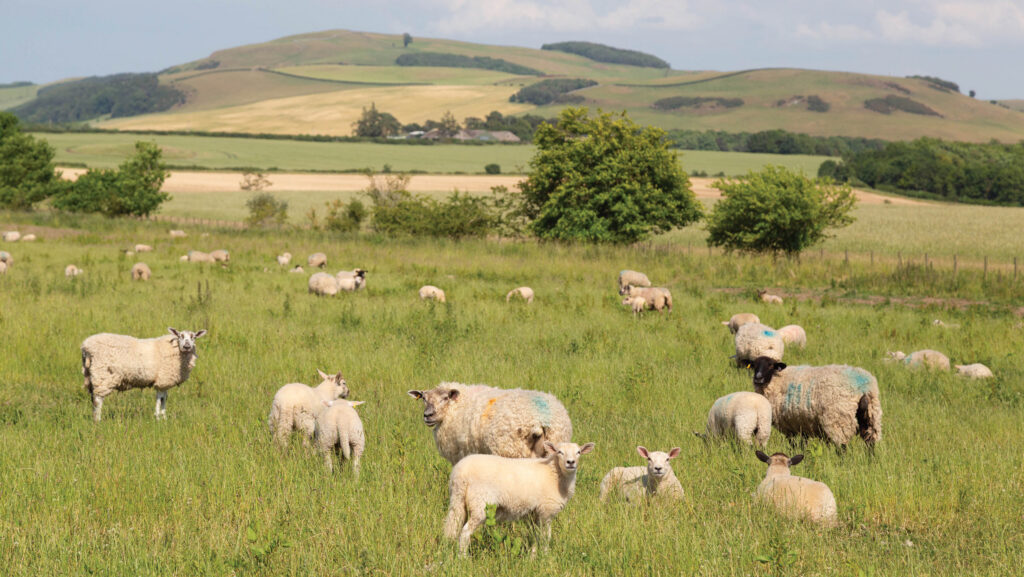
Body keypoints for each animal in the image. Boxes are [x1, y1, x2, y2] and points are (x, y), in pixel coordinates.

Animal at [444, 441, 595, 555]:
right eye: (559, 452)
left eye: (578, 452)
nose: (571, 462)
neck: (555, 474)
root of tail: (460, 473)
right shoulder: (546, 511)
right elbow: (546, 537)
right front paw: (545, 556)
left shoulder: (536, 514)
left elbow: (536, 536)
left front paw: (533, 557)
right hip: (479, 504)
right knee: (465, 533)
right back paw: (463, 558)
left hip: (458, 501)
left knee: (453, 527)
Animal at [750, 356, 882, 448]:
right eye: (754, 366)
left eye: (770, 366)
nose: (758, 378)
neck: (776, 380)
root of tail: (863, 387)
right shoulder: (801, 424)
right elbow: (802, 444)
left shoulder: (790, 426)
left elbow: (793, 444)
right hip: (871, 417)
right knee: (870, 443)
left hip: (839, 420)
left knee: (842, 447)